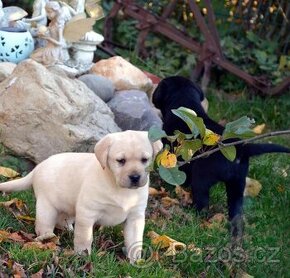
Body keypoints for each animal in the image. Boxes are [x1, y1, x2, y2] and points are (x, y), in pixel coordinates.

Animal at [0, 130, 163, 262]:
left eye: (144, 160)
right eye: (121, 161)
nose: (135, 177)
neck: (119, 188)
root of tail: (37, 167)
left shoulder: (135, 217)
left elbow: (135, 240)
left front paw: (135, 261)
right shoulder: (87, 213)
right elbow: (84, 237)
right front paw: (83, 256)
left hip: (69, 208)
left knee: (62, 219)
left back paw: (67, 229)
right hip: (47, 206)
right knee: (44, 225)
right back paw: (48, 238)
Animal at [153, 75, 288, 235]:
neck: (187, 105)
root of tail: (241, 148)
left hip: (202, 179)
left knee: (203, 202)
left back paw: (193, 212)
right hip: (237, 184)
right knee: (236, 209)